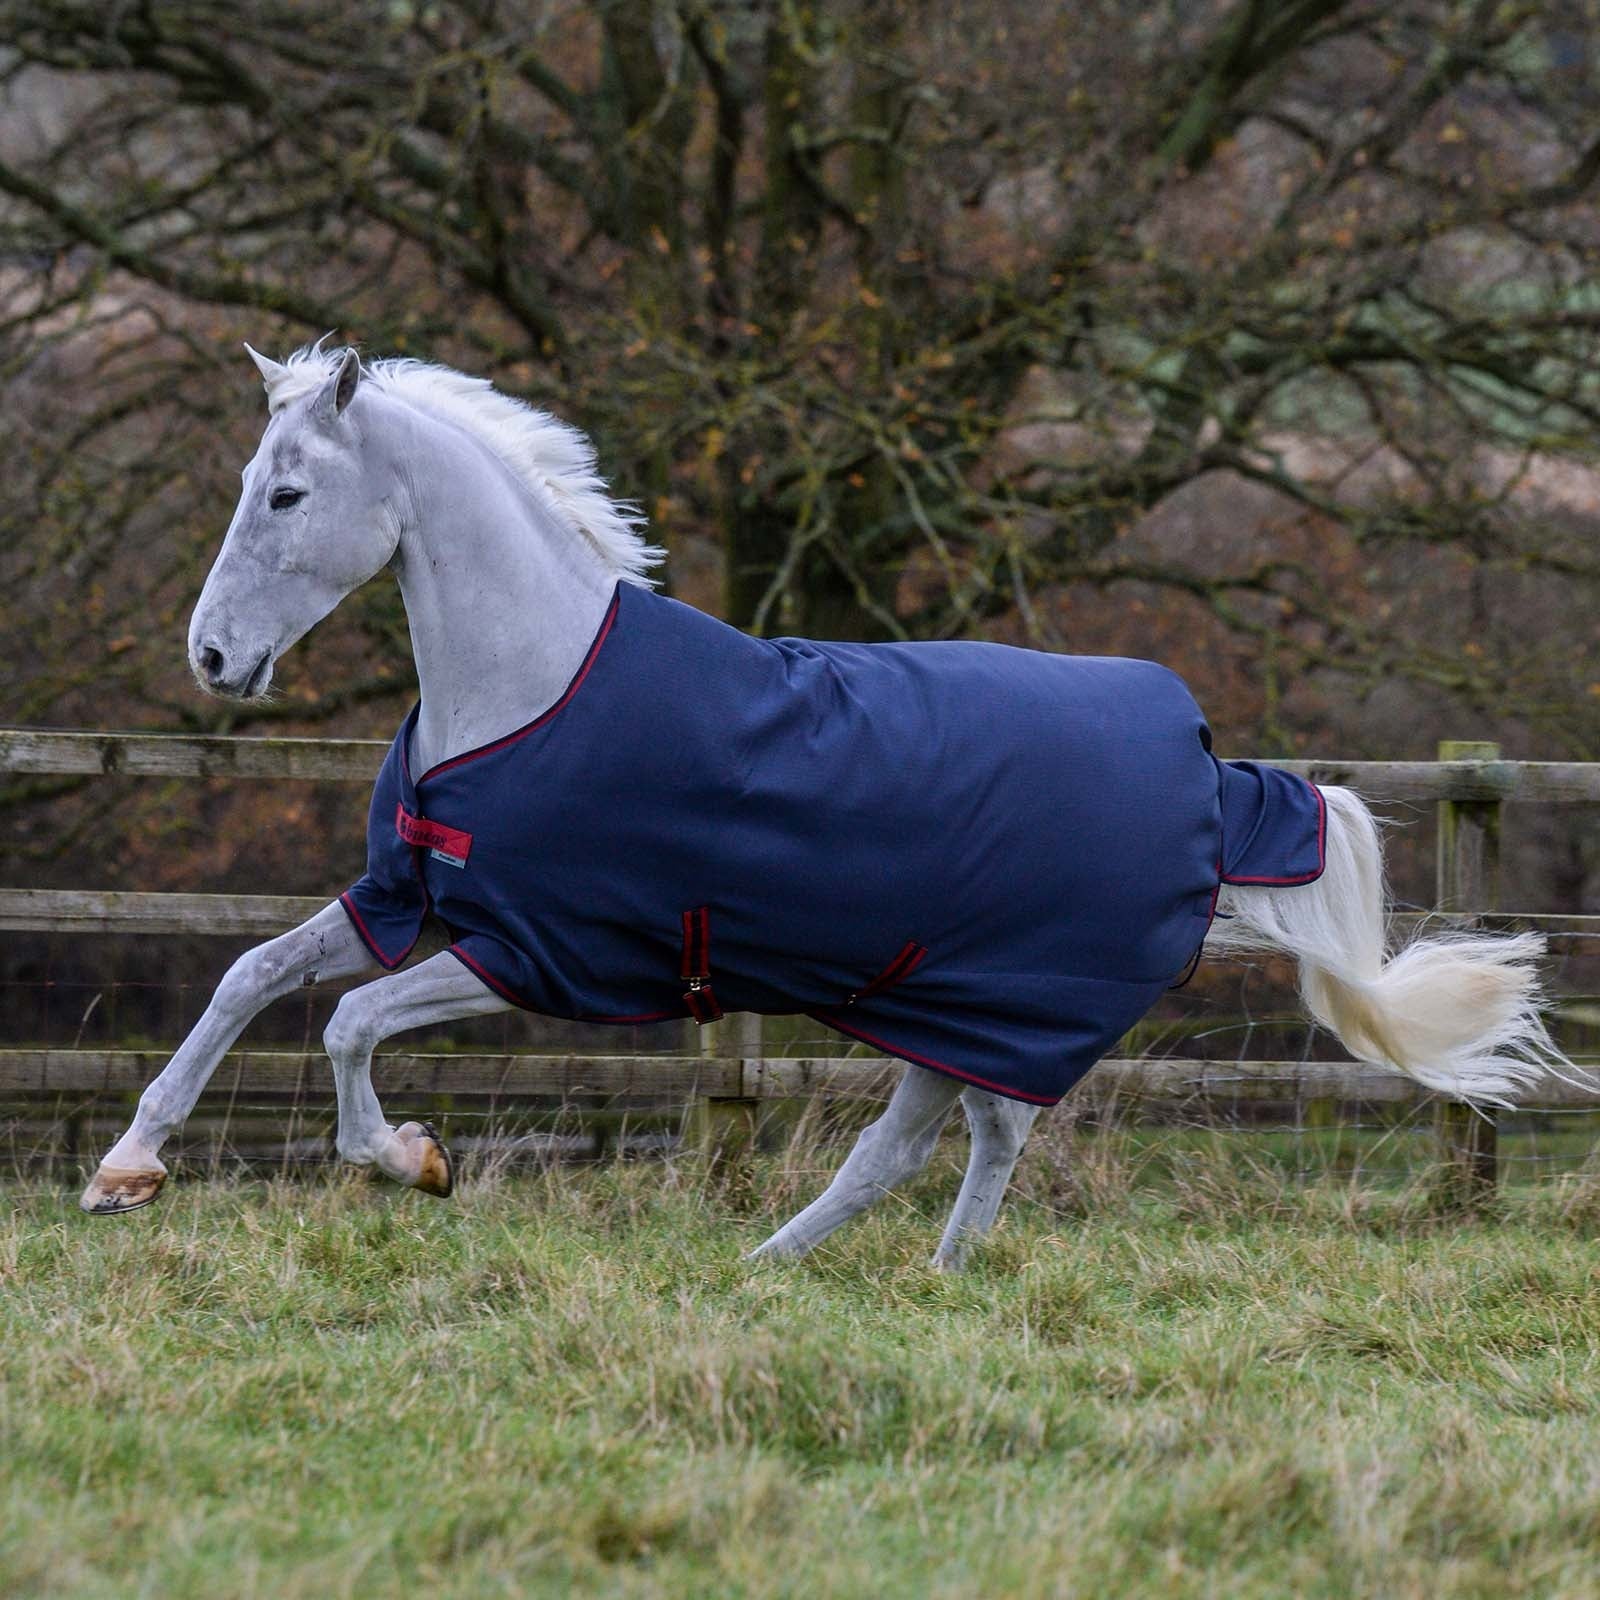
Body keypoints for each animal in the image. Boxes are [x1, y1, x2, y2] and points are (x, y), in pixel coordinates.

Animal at [80, 344, 1568, 1267]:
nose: (211, 659)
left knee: (947, 1141)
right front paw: (126, 1170)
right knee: (936, 1140)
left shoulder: (540, 954)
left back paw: (845, 1269)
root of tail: (1207, 768)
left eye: (287, 491)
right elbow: (249, 977)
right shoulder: (408, 897)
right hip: (949, 1009)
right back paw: (824, 1269)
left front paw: (412, 1161)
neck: (530, 683)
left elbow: (342, 1025)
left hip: (1001, 1007)